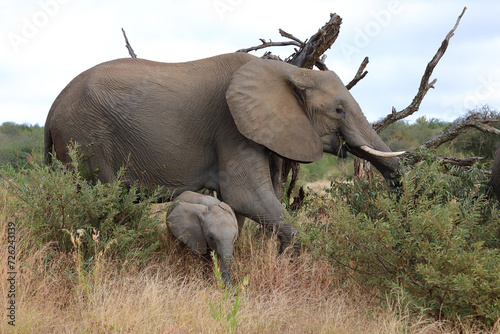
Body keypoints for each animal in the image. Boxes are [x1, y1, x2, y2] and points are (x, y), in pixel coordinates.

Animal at [45, 52, 404, 250]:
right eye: (339, 111)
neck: (289, 73)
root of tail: (51, 112)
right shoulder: (231, 126)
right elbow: (245, 197)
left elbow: (242, 207)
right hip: (87, 139)